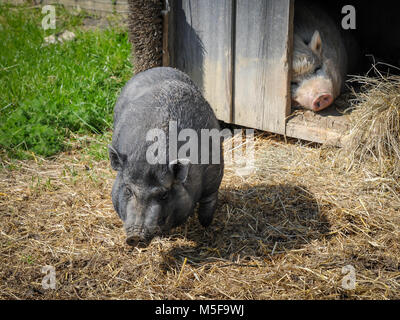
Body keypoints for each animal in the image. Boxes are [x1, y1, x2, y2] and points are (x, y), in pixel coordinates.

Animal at [109, 67, 223, 248]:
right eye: (128, 190)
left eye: (164, 194)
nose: (135, 237)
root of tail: (158, 68)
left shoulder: (215, 172)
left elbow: (209, 202)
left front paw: (206, 225)